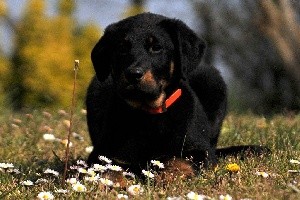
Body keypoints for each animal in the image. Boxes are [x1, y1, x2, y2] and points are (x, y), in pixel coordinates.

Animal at [85, 12, 268, 176]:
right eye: (122, 48)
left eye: (156, 48)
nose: (133, 74)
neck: (148, 116)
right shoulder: (102, 153)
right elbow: (109, 170)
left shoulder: (199, 150)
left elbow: (176, 160)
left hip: (212, 80)